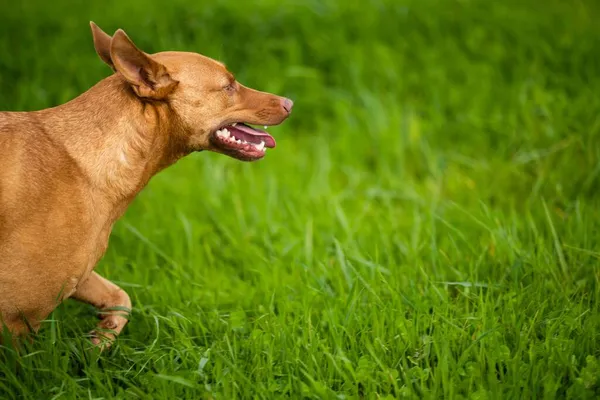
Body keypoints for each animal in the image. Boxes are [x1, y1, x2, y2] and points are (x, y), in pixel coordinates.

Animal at [0, 22, 292, 346]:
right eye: (229, 86)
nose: (289, 103)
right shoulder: (18, 319)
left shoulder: (79, 276)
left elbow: (121, 299)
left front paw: (98, 342)